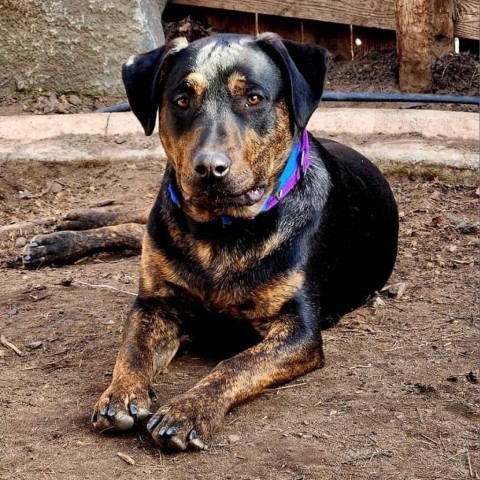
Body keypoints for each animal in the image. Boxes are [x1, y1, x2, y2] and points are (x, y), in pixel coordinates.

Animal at [24, 32, 400, 450]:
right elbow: (132, 350)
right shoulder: (155, 305)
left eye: (253, 98)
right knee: (136, 224)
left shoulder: (299, 331)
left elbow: (236, 364)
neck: (220, 231)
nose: (209, 168)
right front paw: (120, 393)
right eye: (181, 100)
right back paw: (61, 234)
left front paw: (188, 410)